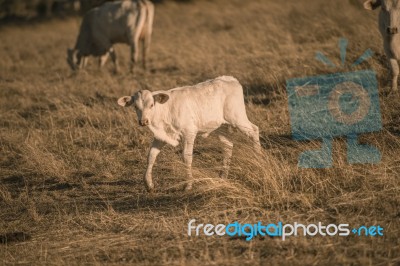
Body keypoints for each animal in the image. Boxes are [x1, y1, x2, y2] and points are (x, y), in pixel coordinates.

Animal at [117, 76, 260, 191]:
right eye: (135, 107)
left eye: (152, 105)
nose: (143, 121)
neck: (164, 111)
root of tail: (230, 79)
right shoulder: (161, 136)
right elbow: (151, 155)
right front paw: (148, 184)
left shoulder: (189, 132)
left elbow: (186, 157)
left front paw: (188, 185)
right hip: (222, 127)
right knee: (228, 146)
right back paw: (223, 176)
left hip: (237, 118)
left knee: (254, 130)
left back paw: (258, 157)